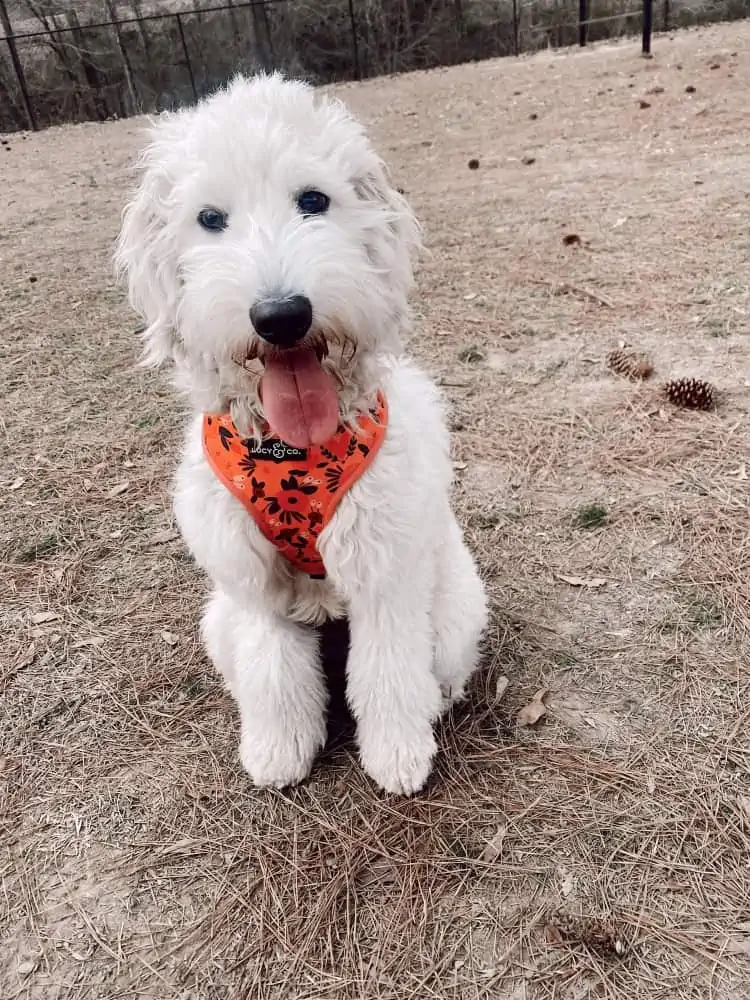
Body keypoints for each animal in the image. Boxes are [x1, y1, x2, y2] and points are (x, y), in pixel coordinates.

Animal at [115, 72, 490, 796]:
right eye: (209, 218)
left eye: (313, 200)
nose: (281, 316)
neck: (291, 452)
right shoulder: (249, 584)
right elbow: (274, 675)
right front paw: (279, 751)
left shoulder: (384, 574)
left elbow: (389, 671)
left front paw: (398, 754)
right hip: (218, 620)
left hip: (456, 606)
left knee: (437, 665)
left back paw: (439, 698)